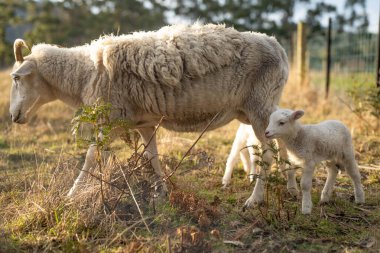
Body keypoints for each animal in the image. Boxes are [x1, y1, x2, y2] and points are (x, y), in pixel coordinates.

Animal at [8, 23, 294, 209]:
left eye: (16, 78)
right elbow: (152, 157)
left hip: (258, 106)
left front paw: (71, 194)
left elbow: (91, 157)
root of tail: (276, 46)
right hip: (258, 109)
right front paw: (163, 193)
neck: (83, 74)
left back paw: (255, 200)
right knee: (283, 140)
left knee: (268, 153)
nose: (13, 117)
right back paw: (291, 187)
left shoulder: (112, 120)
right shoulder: (143, 124)